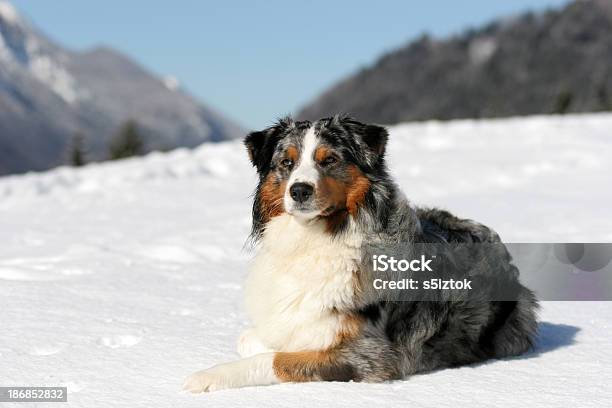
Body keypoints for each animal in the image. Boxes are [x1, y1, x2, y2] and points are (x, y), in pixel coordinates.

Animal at [184, 114, 536, 392]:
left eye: (329, 160)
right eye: (287, 162)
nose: (299, 191)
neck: (315, 237)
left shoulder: (369, 355)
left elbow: (277, 359)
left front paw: (207, 376)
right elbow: (251, 338)